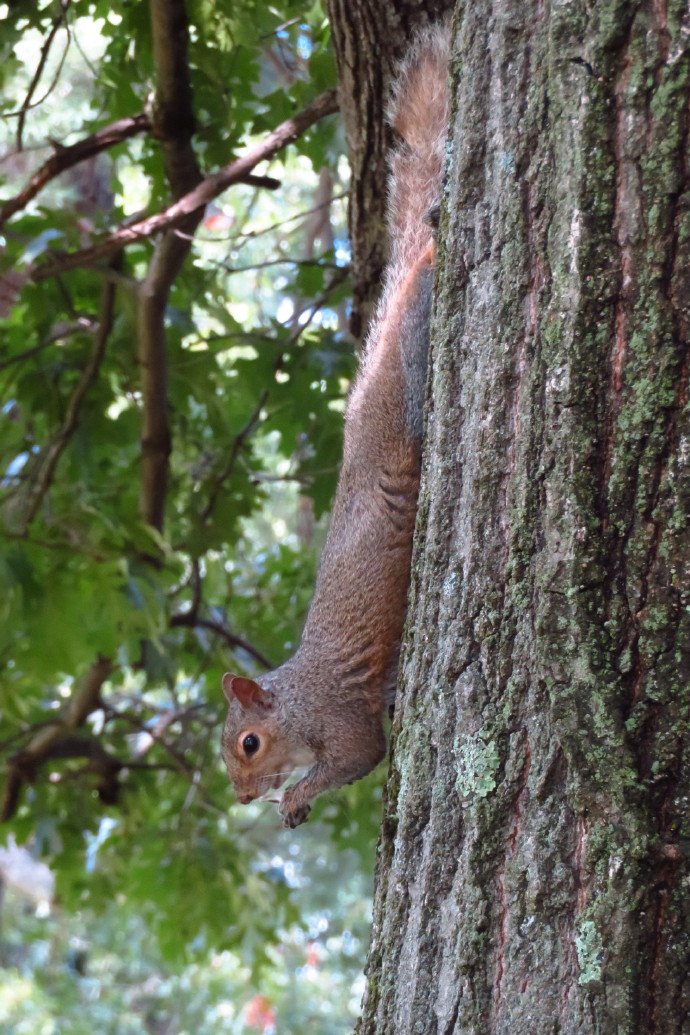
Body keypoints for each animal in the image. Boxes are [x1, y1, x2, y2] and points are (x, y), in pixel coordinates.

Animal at [218, 26, 451, 832]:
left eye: (248, 744)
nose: (243, 797)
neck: (296, 701)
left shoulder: (339, 717)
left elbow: (359, 757)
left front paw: (299, 794)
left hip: (413, 371)